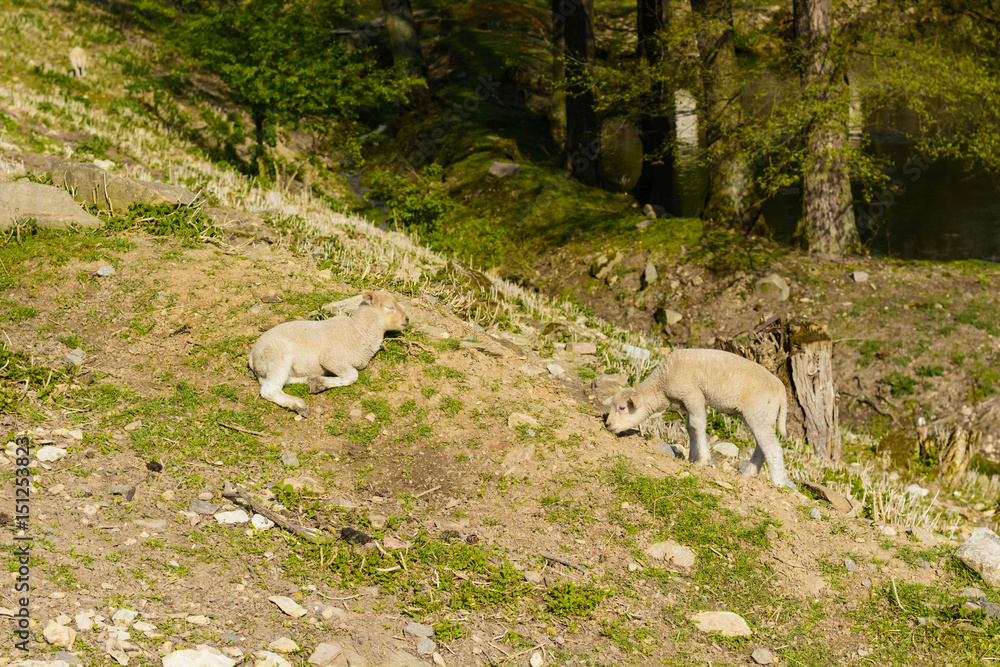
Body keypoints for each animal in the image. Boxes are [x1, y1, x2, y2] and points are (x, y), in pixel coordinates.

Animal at [248, 290, 409, 416]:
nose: (407, 319)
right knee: (269, 390)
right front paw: (322, 384)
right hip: (279, 357)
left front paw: (318, 383)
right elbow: (353, 375)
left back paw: (310, 379)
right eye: (389, 307)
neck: (357, 331)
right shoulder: (331, 359)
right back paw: (298, 404)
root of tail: (252, 356)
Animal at [605, 348, 794, 489]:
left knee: (773, 448)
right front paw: (691, 457)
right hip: (760, 415)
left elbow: (697, 425)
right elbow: (690, 427)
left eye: (622, 408)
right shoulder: (686, 400)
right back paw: (749, 474)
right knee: (762, 446)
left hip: (759, 413)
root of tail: (778, 385)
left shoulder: (692, 394)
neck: (662, 384)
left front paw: (702, 460)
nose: (608, 424)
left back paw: (778, 484)